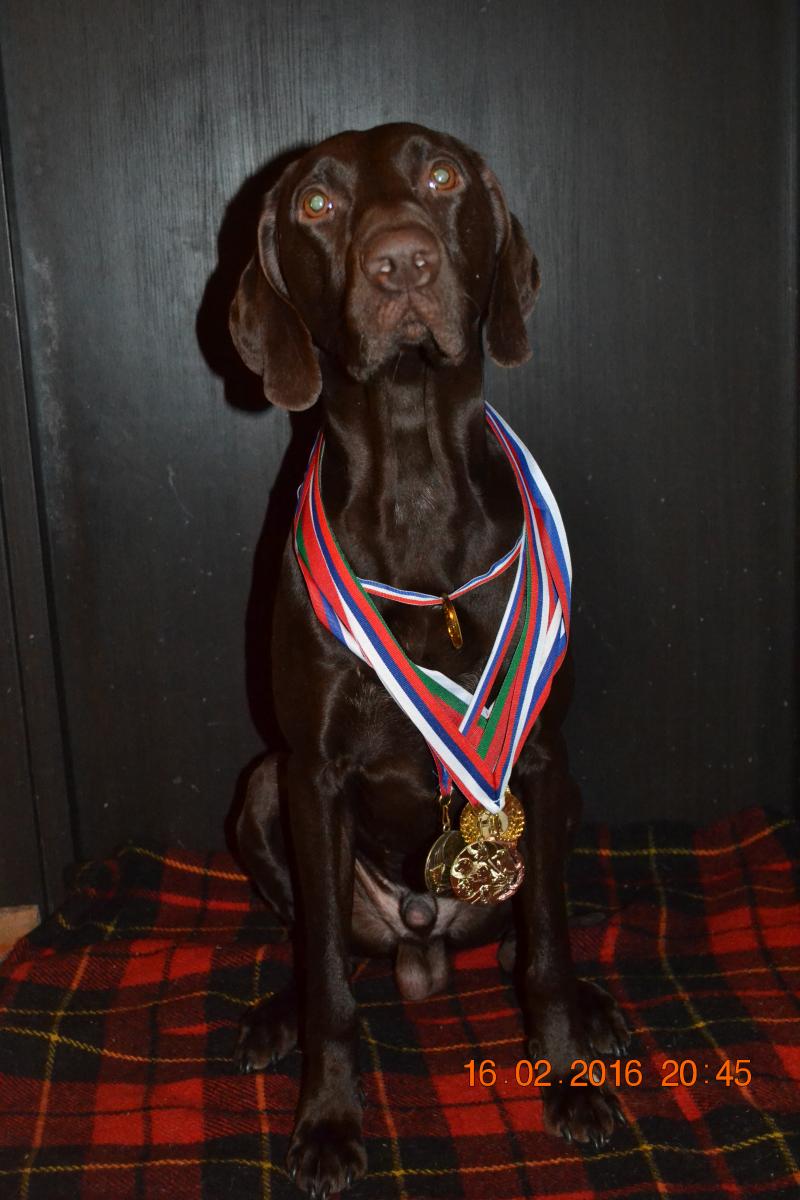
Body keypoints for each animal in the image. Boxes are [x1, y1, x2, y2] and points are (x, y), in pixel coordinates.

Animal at [229, 121, 629, 1197]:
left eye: (442, 176)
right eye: (317, 204)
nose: (400, 262)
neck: (412, 469)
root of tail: (423, 945)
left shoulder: (537, 756)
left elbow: (543, 950)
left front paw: (567, 1076)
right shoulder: (313, 772)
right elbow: (328, 980)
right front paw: (328, 1122)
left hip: (565, 798)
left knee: (532, 930)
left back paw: (591, 1004)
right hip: (262, 793)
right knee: (314, 941)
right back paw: (273, 1018)